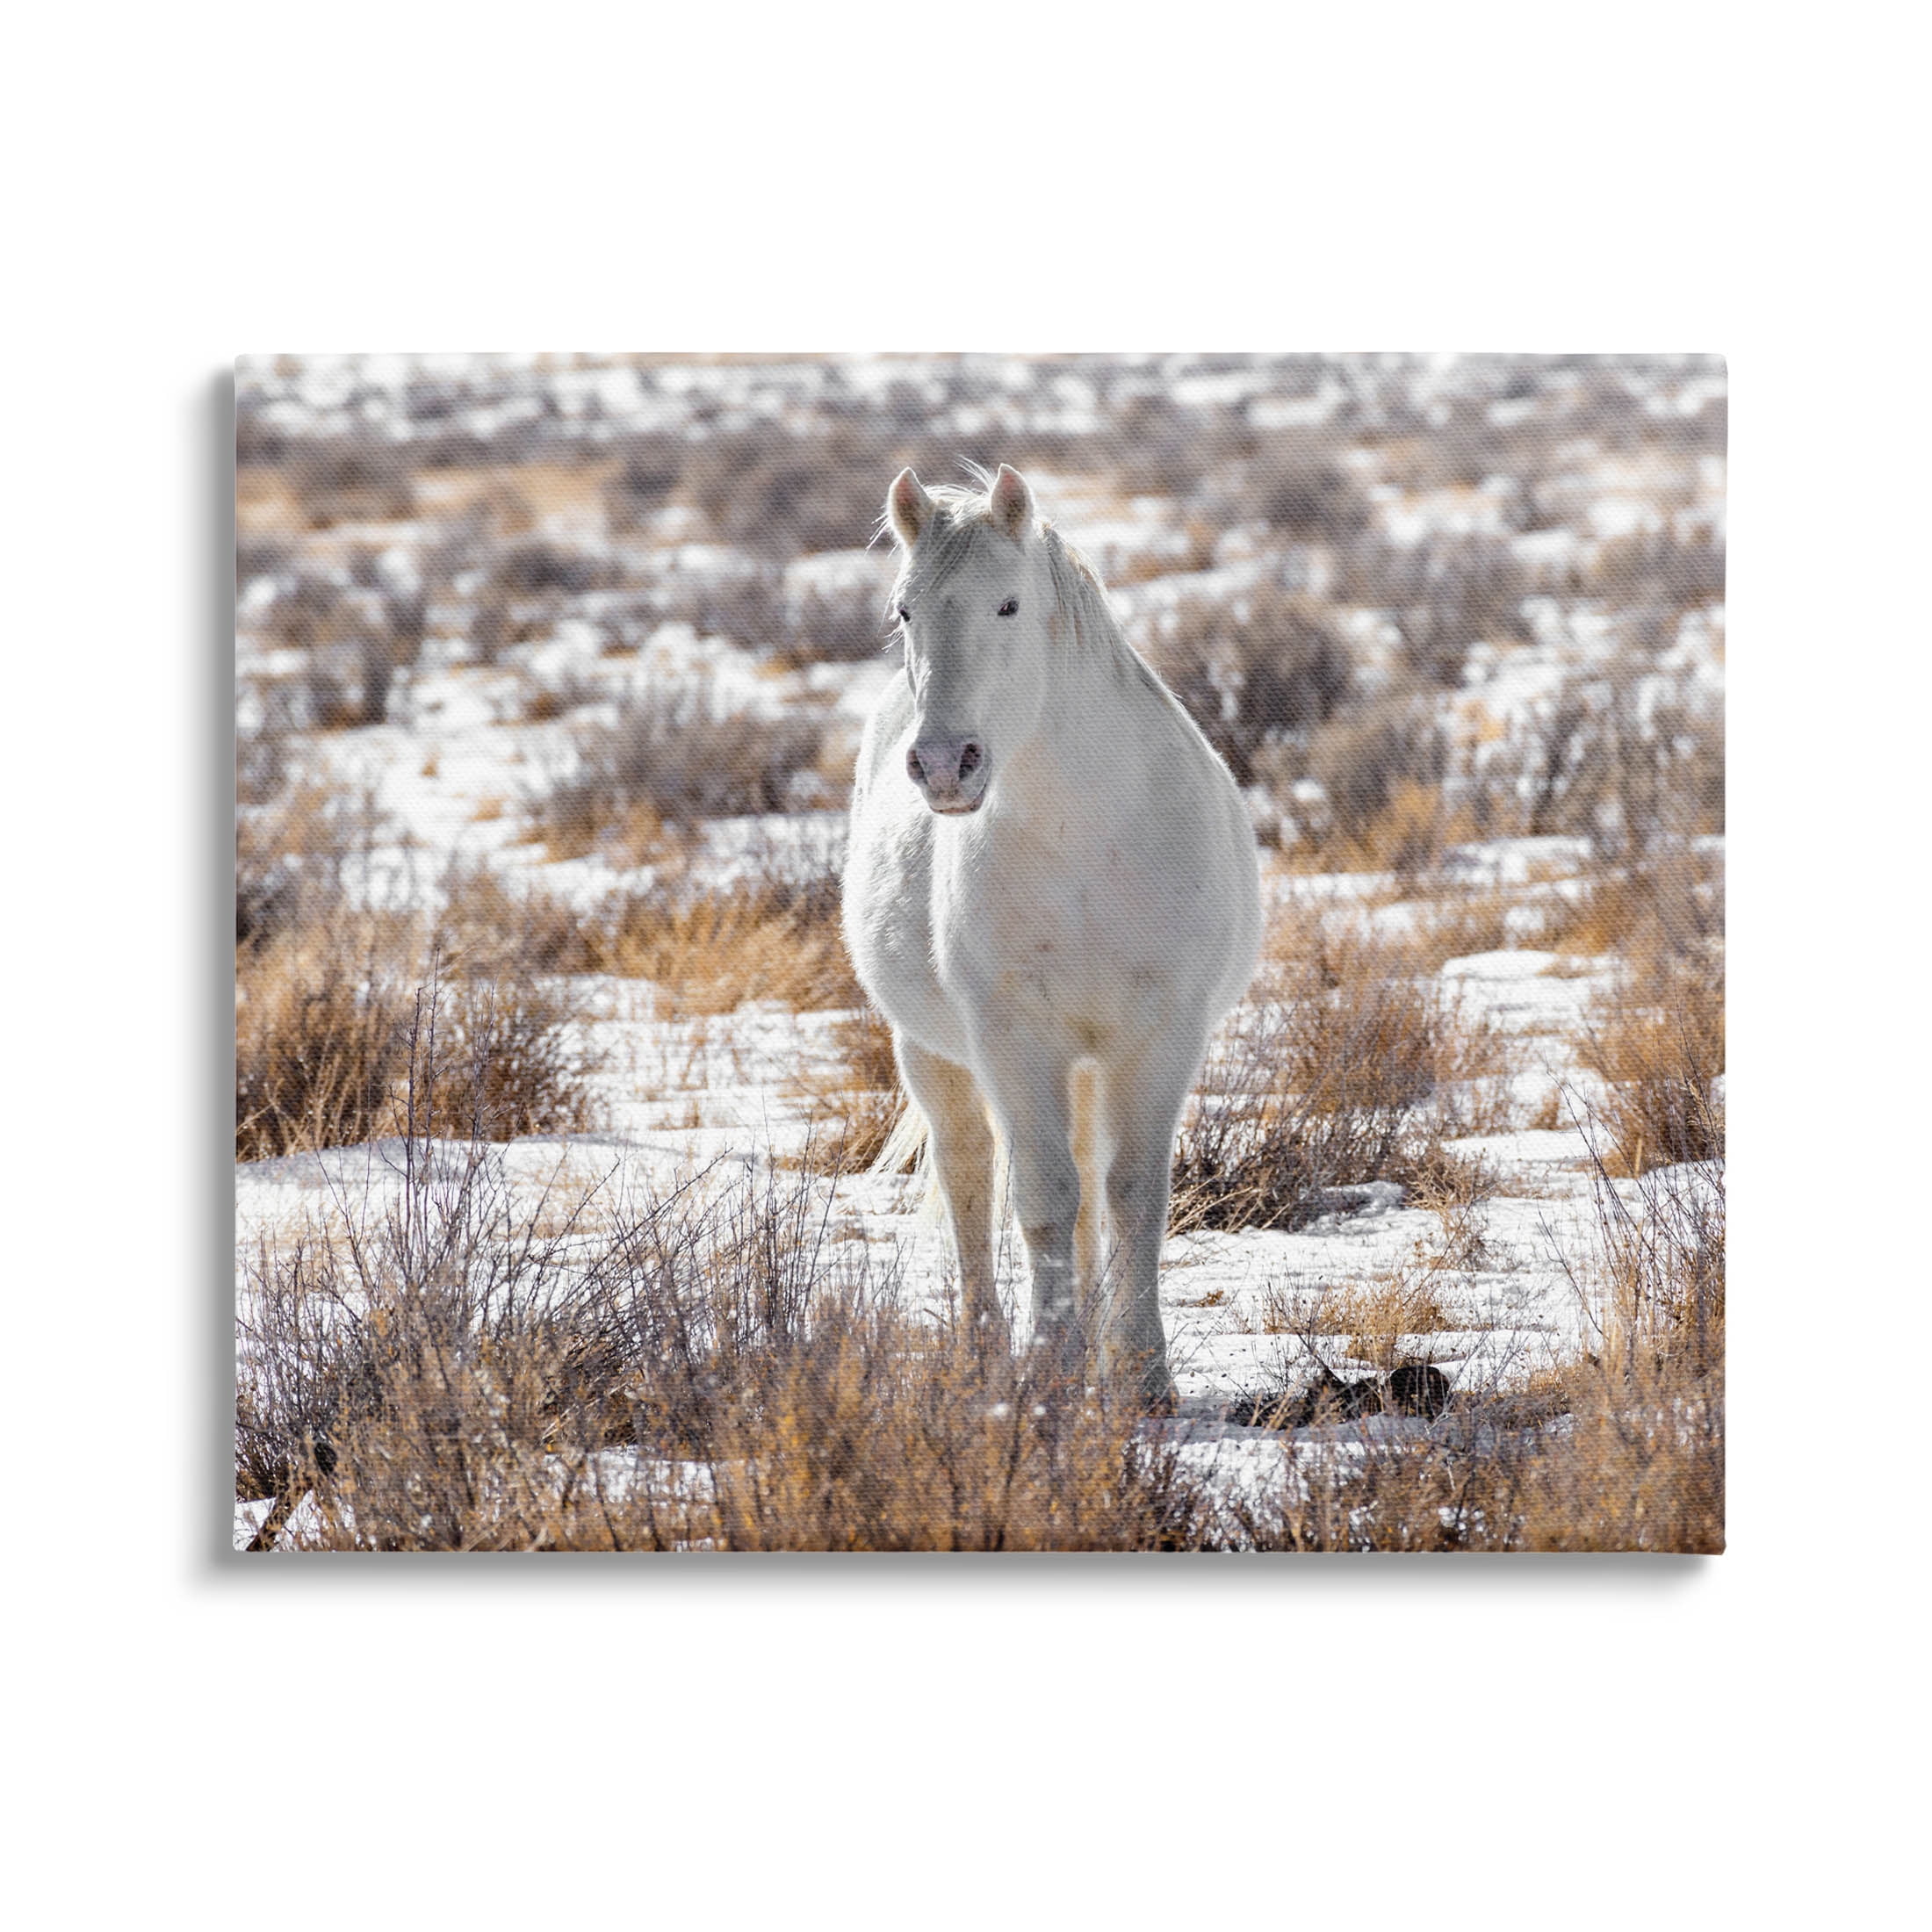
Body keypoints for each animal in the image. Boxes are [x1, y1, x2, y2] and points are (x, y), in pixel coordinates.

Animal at [841, 463, 1263, 1406]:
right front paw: (1052, 1370)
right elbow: (1040, 1198)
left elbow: (1132, 1193)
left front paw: (1142, 1375)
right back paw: (987, 1347)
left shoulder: (1159, 1034)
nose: (944, 765)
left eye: (1008, 605)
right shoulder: (1011, 1038)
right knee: (969, 1179)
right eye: (904, 610)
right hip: (935, 1055)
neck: (1085, 837)